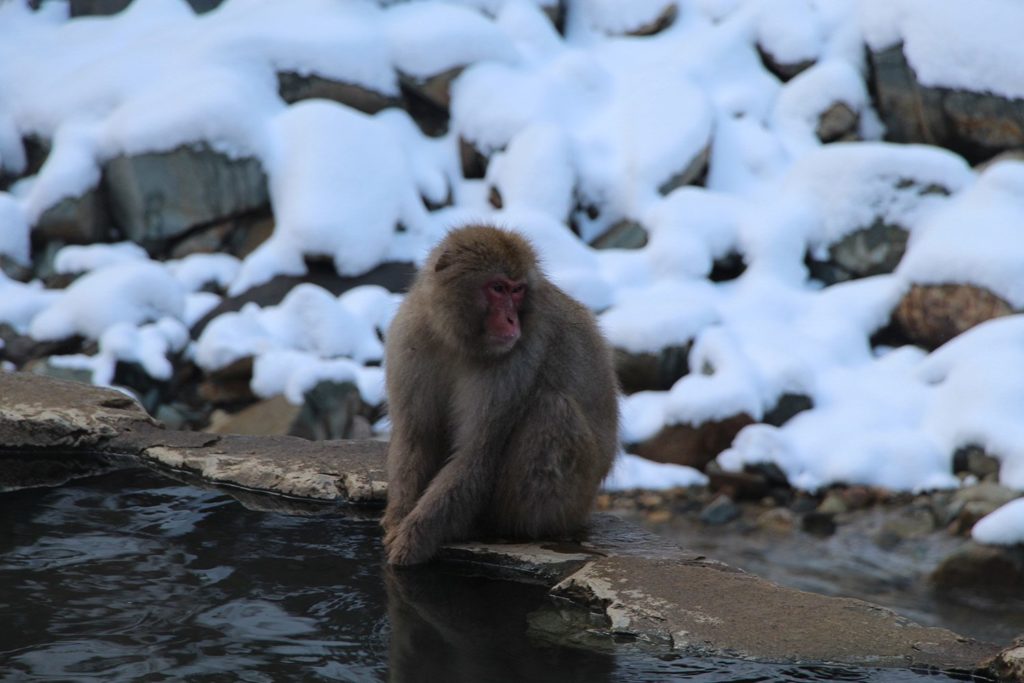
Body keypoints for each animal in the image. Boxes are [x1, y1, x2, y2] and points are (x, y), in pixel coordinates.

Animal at [382, 224, 614, 565]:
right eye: (498, 288)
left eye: (517, 291)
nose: (511, 320)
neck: (457, 341)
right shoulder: (408, 337)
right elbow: (416, 436)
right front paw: (398, 519)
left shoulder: (517, 361)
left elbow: (477, 455)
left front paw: (413, 540)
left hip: (574, 501)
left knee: (552, 409)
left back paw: (499, 526)